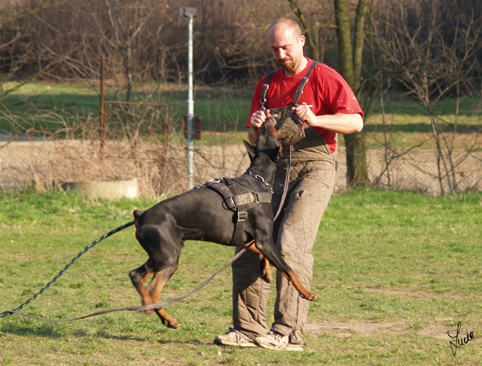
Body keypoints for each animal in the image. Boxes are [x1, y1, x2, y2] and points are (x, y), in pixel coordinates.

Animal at [129, 120, 316, 328]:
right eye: (267, 132)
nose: (268, 121)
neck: (257, 181)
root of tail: (141, 215)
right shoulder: (264, 239)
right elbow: (288, 269)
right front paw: (307, 293)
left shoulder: (248, 239)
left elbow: (261, 253)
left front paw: (266, 271)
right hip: (166, 255)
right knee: (136, 275)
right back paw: (147, 305)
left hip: (170, 260)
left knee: (153, 290)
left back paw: (165, 318)